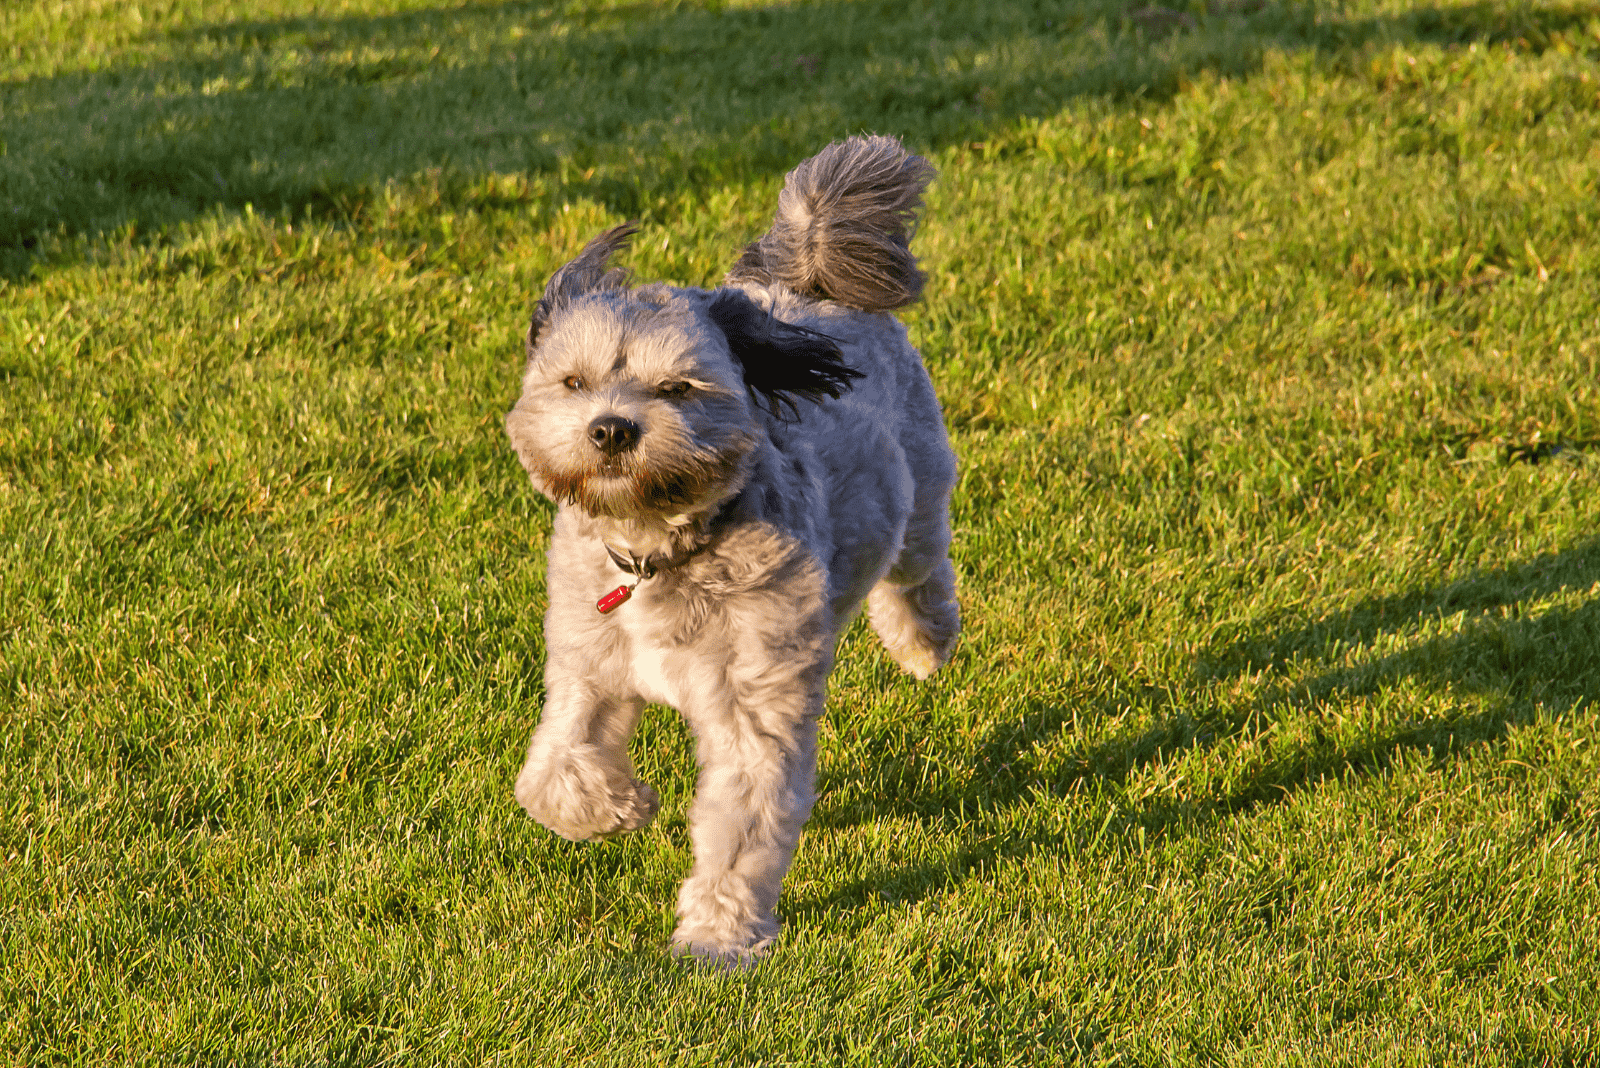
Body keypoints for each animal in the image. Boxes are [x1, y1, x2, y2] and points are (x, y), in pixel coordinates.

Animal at [508, 137, 960, 965]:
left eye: (677, 387)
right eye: (574, 381)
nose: (611, 428)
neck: (659, 550)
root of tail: (803, 278)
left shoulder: (752, 705)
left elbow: (740, 832)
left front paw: (717, 940)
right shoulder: (587, 664)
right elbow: (551, 774)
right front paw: (624, 805)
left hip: (919, 489)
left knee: (920, 570)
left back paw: (922, 643)